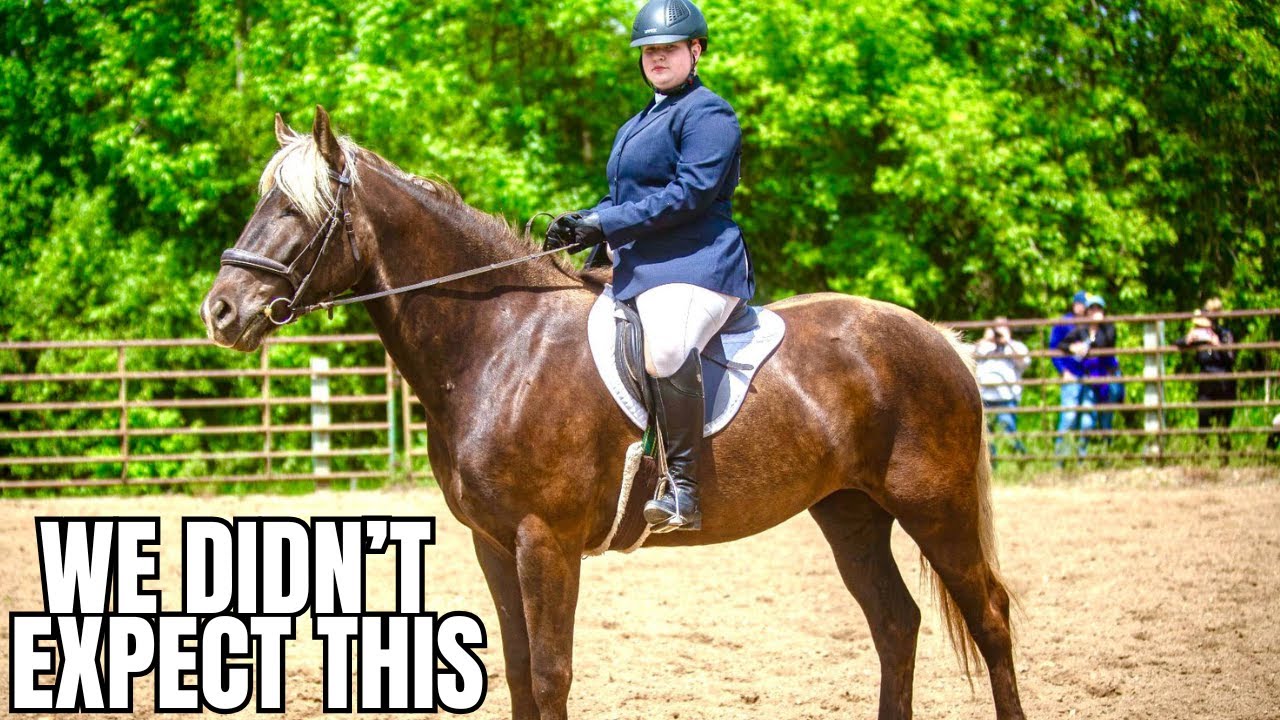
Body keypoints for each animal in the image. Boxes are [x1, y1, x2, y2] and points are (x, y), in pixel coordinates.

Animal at [201, 106, 1024, 720]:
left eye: (296, 209)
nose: (221, 311)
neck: (500, 342)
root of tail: (938, 339)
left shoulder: (545, 543)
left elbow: (551, 673)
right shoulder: (493, 544)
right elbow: (519, 672)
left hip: (935, 505)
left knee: (989, 618)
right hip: (851, 511)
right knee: (895, 623)